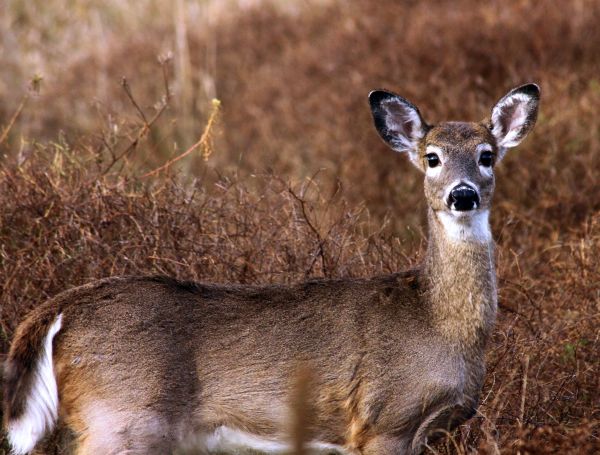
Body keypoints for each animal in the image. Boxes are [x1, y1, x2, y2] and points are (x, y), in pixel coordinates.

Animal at [2, 83, 540, 454]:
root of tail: (58, 310)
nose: (462, 195)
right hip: (122, 418)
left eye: (487, 155)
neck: (440, 323)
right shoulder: (386, 420)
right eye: (431, 158)